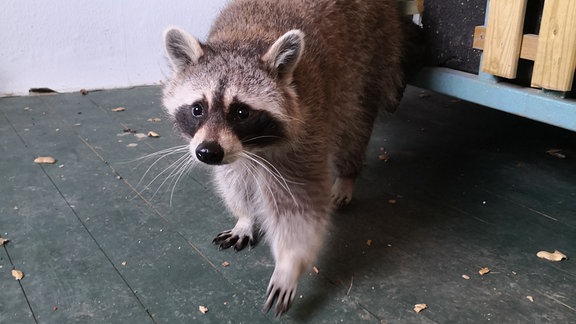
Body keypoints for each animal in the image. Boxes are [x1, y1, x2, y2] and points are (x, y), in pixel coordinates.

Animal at [161, 0, 404, 316]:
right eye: (197, 109)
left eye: (241, 112)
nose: (207, 153)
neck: (242, 41)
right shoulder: (228, 152)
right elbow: (234, 179)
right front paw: (245, 217)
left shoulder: (306, 130)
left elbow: (300, 204)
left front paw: (289, 263)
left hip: (371, 58)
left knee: (355, 122)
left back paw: (347, 175)